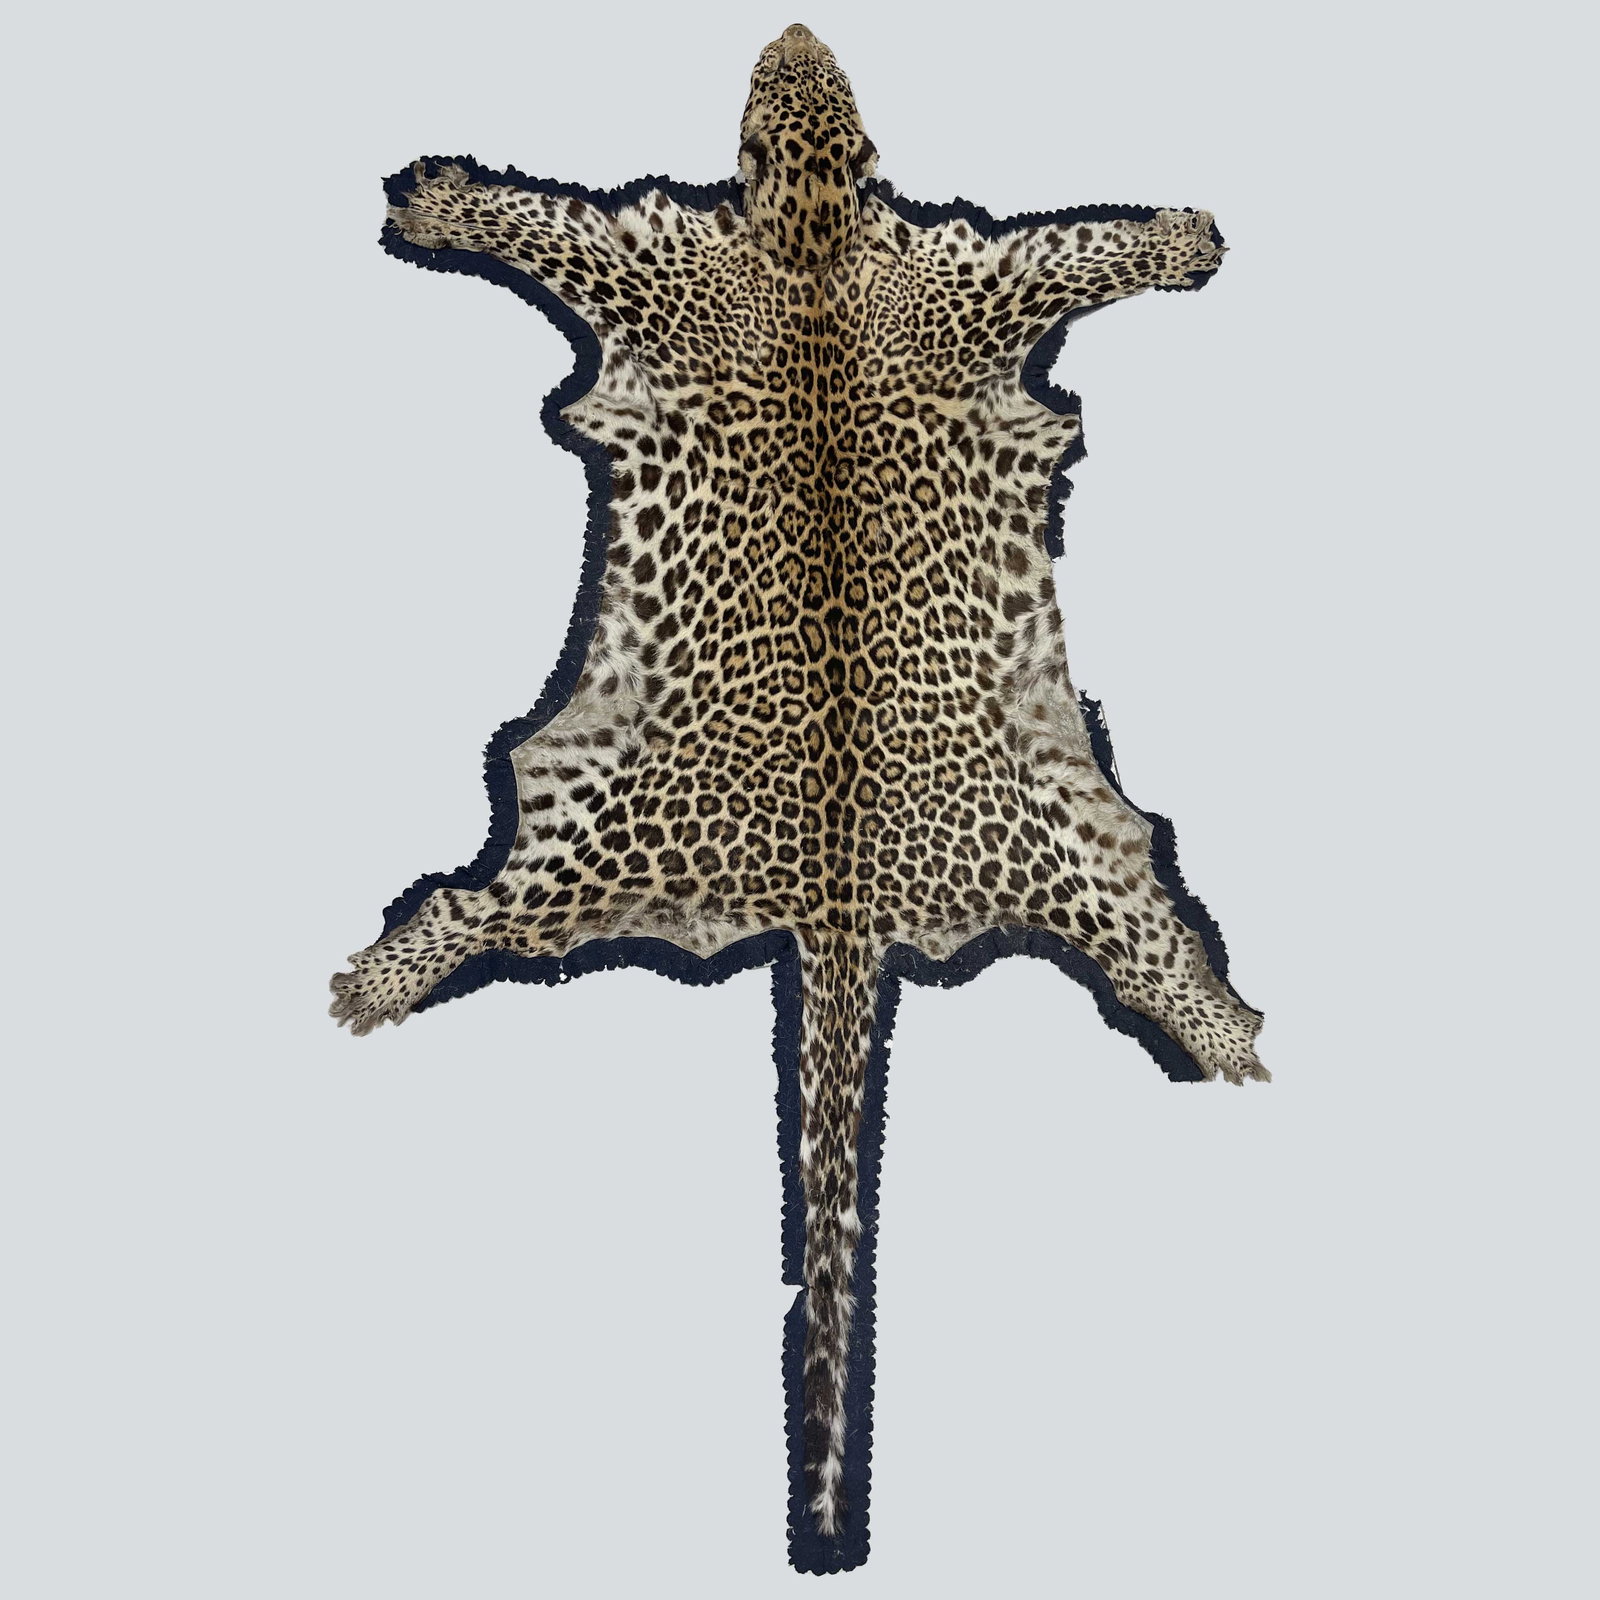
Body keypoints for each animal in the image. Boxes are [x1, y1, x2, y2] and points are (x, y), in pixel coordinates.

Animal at [329, 22, 1266, 1570]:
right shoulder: (912, 270)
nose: (797, 34)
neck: (818, 238)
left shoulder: (834, 265)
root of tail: (837, 898)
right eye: (772, 104)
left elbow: (1077, 244)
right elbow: (1063, 249)